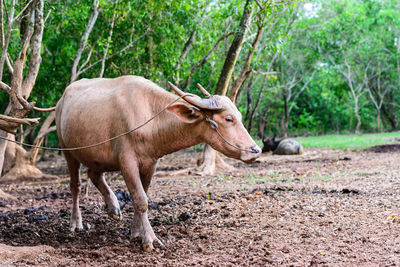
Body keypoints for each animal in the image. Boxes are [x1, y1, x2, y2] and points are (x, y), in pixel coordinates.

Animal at [55, 76, 262, 253]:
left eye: (240, 116)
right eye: (228, 119)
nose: (255, 150)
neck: (150, 118)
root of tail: (61, 101)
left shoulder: (150, 163)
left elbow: (142, 196)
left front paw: (136, 232)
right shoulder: (127, 162)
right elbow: (140, 200)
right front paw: (149, 240)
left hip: (97, 156)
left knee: (94, 174)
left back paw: (113, 207)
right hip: (67, 150)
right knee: (76, 186)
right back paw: (76, 222)